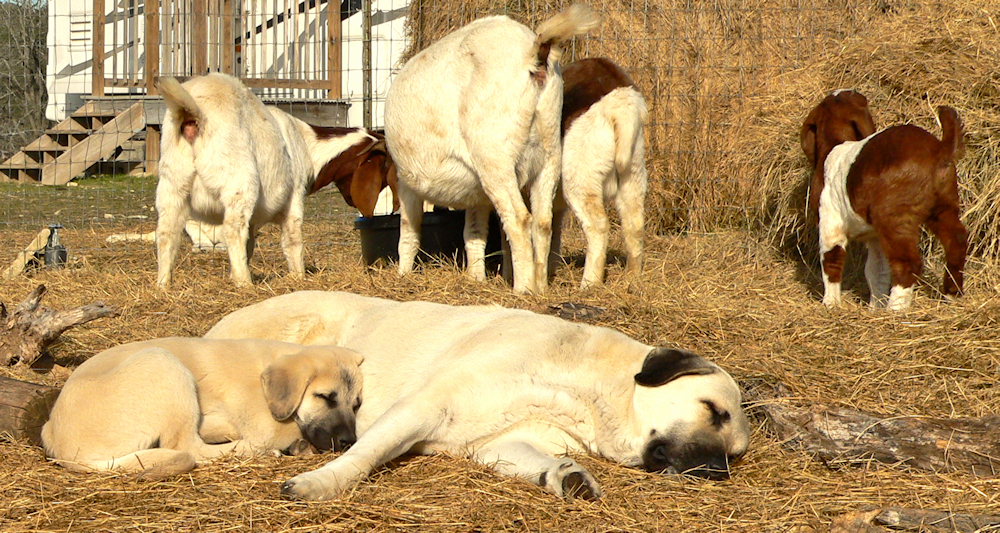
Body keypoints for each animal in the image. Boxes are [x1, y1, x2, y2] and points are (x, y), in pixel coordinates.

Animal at [205, 290, 752, 498]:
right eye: (713, 410)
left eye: (737, 453)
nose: (714, 471)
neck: (585, 392)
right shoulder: (421, 408)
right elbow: (362, 454)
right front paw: (319, 483)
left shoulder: (498, 442)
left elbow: (540, 460)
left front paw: (568, 476)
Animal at [384, 2, 600, 294]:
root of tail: (533, 54)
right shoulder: (477, 193)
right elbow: (474, 232)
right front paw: (476, 277)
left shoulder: (406, 180)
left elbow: (409, 228)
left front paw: (403, 275)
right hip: (549, 152)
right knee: (542, 221)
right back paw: (541, 286)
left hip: (494, 154)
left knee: (519, 219)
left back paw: (524, 289)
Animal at [796, 89, 968, 310]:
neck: (835, 144)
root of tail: (939, 150)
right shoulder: (874, 236)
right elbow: (876, 271)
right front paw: (874, 307)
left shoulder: (830, 221)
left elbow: (831, 260)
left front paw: (831, 304)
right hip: (944, 204)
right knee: (956, 241)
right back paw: (951, 294)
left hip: (895, 215)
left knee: (906, 262)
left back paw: (896, 309)